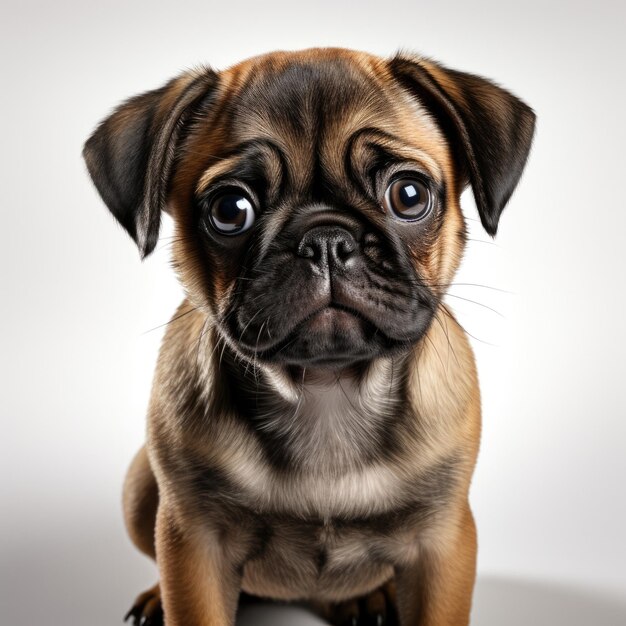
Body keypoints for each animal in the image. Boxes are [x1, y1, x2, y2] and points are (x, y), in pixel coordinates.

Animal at [81, 47, 532, 624]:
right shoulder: (192, 542)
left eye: (409, 195)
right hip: (142, 490)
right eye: (230, 210)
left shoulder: (443, 543)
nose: (326, 239)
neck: (327, 388)